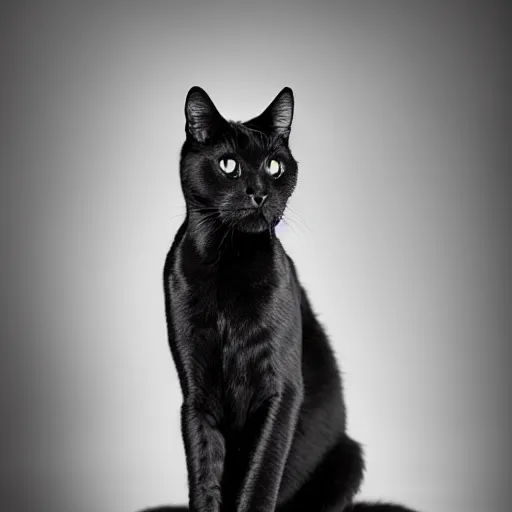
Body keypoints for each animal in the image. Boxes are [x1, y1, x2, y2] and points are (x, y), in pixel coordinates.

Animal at [142, 87, 418, 512]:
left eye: (274, 166)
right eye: (229, 165)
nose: (259, 193)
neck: (229, 263)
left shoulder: (281, 390)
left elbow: (259, 478)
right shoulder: (196, 393)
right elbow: (205, 477)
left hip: (349, 457)